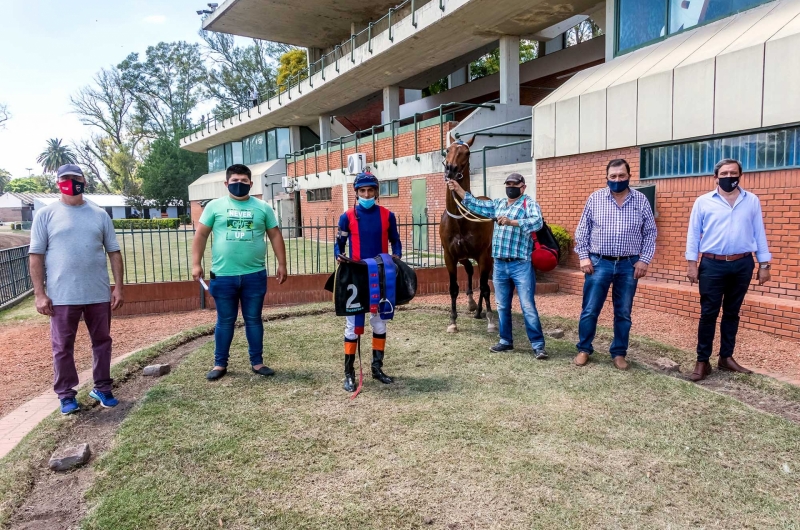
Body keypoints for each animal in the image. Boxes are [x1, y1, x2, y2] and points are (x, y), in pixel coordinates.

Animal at [438, 136, 494, 330]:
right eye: (447, 150)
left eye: (467, 152)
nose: (451, 169)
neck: (461, 219)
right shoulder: (450, 255)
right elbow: (453, 287)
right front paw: (453, 321)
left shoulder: (483, 255)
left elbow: (485, 287)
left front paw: (491, 320)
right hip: (463, 256)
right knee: (470, 270)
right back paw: (474, 306)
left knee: (484, 282)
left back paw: (481, 310)